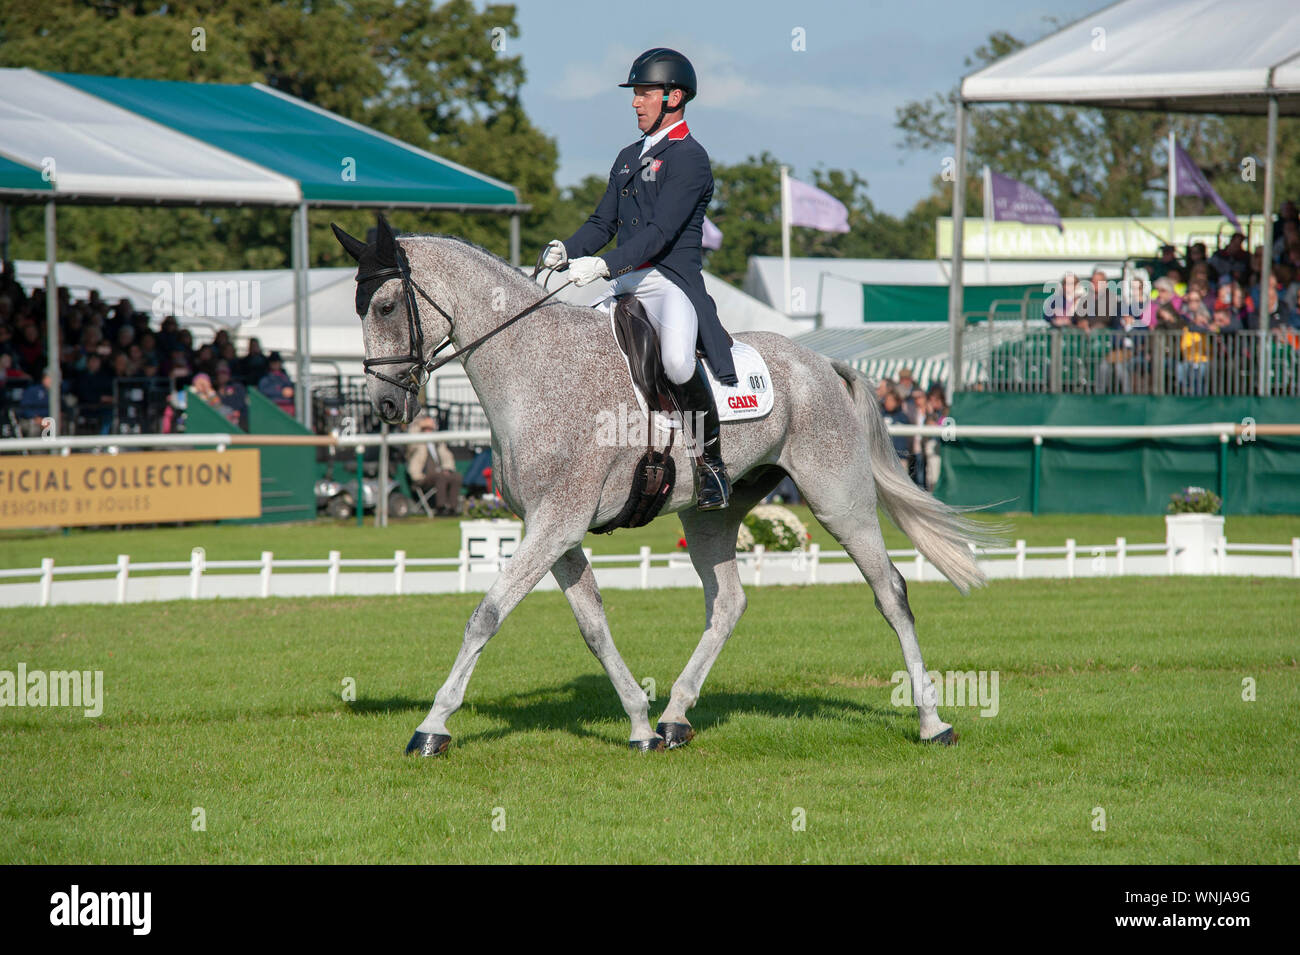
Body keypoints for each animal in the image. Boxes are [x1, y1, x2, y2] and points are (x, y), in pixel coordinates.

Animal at [330, 220, 987, 758]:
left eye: (385, 305)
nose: (385, 405)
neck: (534, 367)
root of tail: (821, 364)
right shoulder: (554, 529)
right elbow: (593, 626)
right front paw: (641, 725)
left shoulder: (556, 523)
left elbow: (486, 615)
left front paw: (432, 726)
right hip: (711, 514)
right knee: (728, 602)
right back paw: (675, 717)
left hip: (838, 500)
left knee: (891, 591)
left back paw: (932, 722)